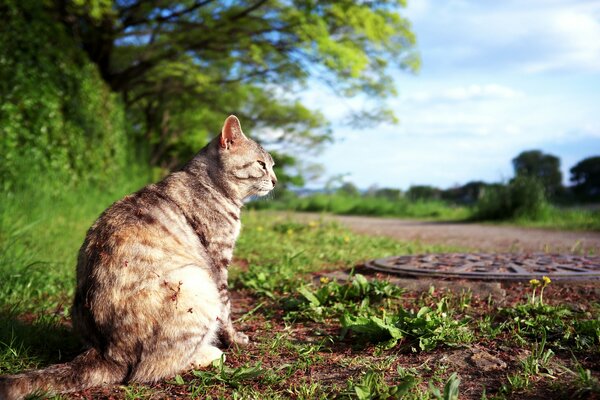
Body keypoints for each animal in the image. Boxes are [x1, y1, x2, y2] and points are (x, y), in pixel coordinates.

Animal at [0, 114, 276, 398]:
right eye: (262, 165)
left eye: (273, 166)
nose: (276, 180)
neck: (209, 183)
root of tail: (106, 352)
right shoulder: (218, 262)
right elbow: (227, 310)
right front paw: (235, 339)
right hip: (197, 280)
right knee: (152, 369)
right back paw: (209, 354)